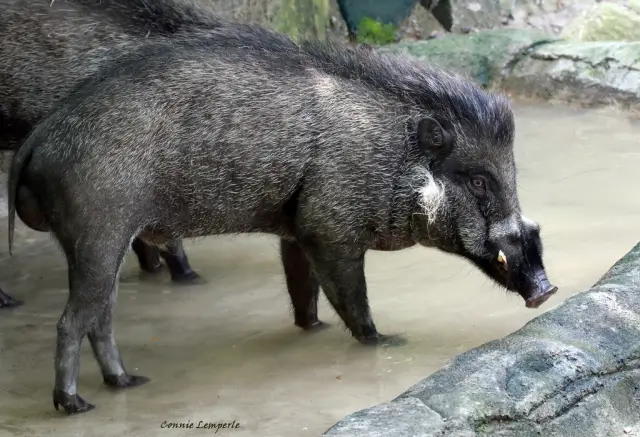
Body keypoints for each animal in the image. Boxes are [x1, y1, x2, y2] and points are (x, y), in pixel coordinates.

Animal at [10, 29, 556, 412]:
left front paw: (312, 331)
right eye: (480, 180)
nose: (547, 290)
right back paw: (75, 404)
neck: (395, 155)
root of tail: (39, 138)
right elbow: (352, 299)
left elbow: (304, 292)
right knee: (73, 321)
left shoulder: (296, 232)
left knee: (99, 318)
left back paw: (127, 382)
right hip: (99, 236)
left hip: (101, 244)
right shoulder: (330, 230)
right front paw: (386, 341)